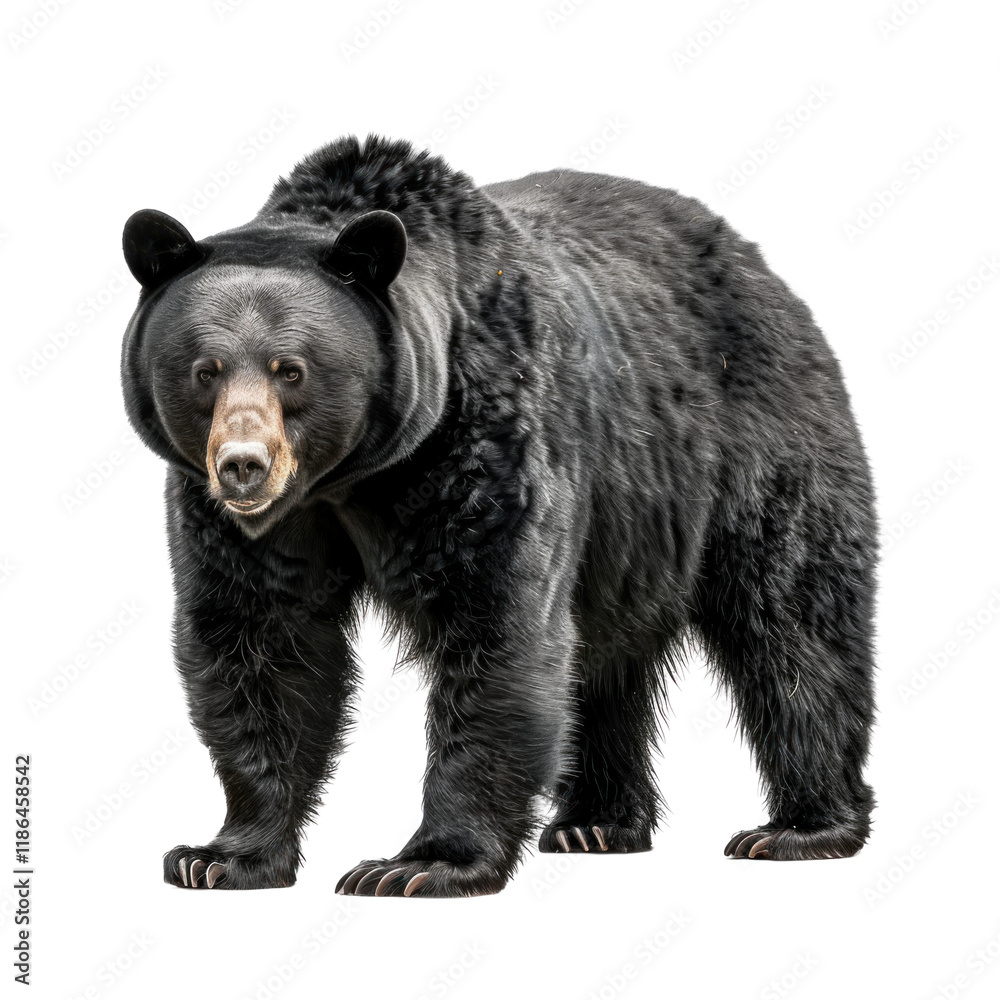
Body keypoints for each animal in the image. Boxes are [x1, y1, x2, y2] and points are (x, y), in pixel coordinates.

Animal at [120, 134, 877, 897]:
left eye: (291, 368)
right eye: (205, 369)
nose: (243, 465)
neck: (353, 478)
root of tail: (762, 267)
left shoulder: (486, 442)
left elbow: (496, 623)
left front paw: (421, 862)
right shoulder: (252, 525)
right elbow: (259, 638)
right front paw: (221, 854)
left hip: (749, 446)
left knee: (792, 620)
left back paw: (800, 827)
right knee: (603, 663)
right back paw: (596, 822)